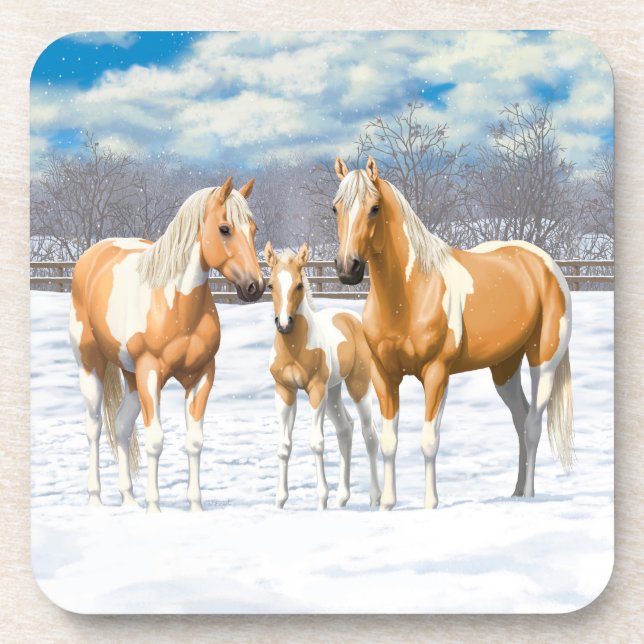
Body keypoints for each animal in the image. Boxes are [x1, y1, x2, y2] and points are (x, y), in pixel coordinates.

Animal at [69, 177, 264, 512]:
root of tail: (92, 255)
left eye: (253, 229)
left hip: (130, 376)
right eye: (225, 228)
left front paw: (195, 507)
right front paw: (154, 508)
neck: (176, 305)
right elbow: (155, 440)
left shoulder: (201, 375)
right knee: (94, 426)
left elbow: (195, 441)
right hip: (91, 363)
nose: (255, 286)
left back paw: (128, 499)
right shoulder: (150, 373)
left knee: (121, 425)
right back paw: (95, 499)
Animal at [264, 241, 381, 510]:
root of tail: (352, 318)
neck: (295, 349)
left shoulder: (315, 390)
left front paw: (321, 501)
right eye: (271, 285)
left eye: (298, 285)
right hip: (333, 392)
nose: (284, 324)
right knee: (345, 429)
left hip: (357, 386)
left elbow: (316, 442)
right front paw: (279, 502)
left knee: (369, 434)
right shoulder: (284, 391)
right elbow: (284, 446)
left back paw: (375, 498)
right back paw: (342, 498)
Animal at [332, 156, 574, 510]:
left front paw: (430, 503)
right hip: (504, 369)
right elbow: (389, 439)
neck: (409, 294)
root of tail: (544, 263)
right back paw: (515, 491)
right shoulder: (384, 375)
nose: (347, 268)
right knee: (520, 419)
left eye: (374, 208)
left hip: (543, 362)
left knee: (532, 424)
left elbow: (429, 439)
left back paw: (528, 494)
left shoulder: (436, 374)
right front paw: (387, 504)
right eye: (335, 207)